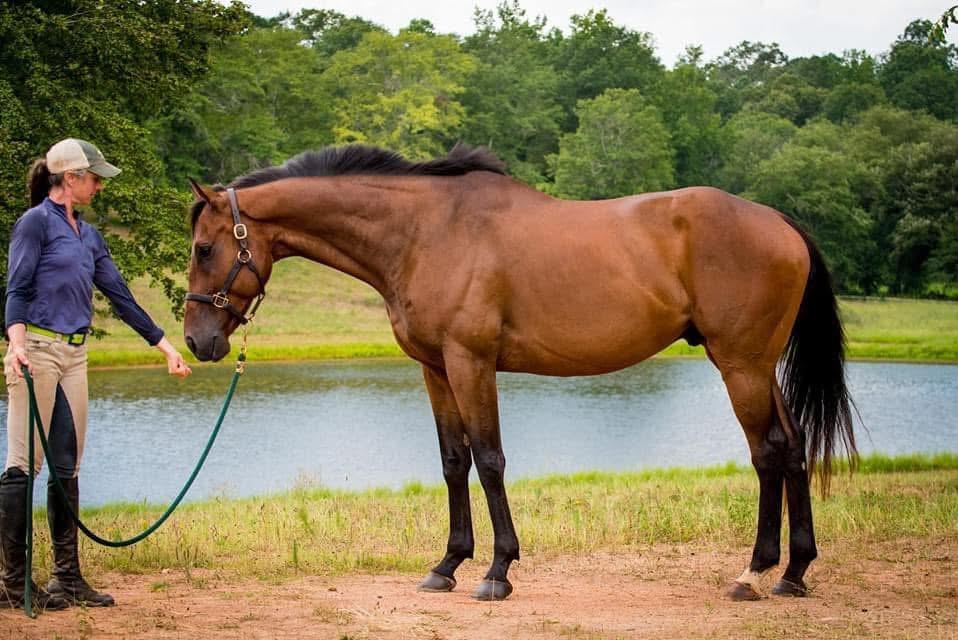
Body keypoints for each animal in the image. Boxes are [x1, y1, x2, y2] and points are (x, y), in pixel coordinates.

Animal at [183, 144, 856, 602]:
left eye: (204, 248)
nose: (197, 340)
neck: (426, 232)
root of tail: (779, 221)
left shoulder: (471, 363)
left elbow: (489, 460)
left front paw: (497, 571)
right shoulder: (435, 369)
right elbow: (453, 462)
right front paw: (446, 566)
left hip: (740, 365)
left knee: (767, 453)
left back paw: (754, 572)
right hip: (755, 366)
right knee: (794, 448)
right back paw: (794, 573)